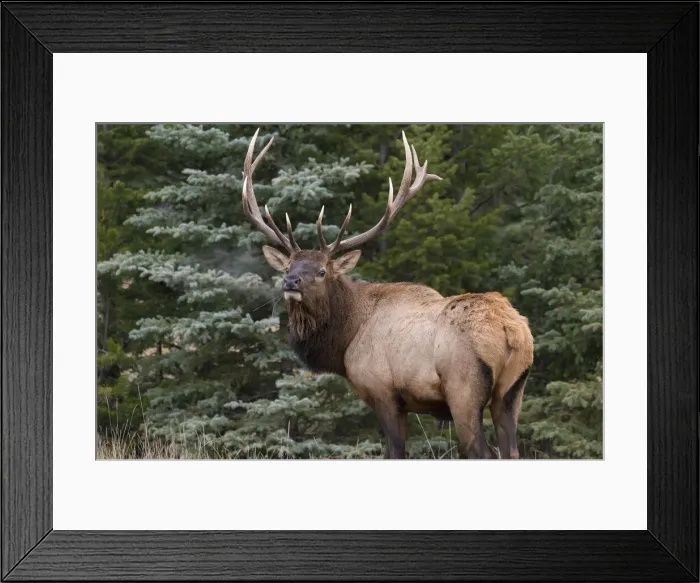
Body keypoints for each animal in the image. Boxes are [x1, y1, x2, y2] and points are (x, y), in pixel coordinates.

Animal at [240, 128, 534, 459]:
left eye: (322, 271)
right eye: (288, 266)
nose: (290, 282)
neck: (345, 339)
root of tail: (511, 329)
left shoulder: (384, 393)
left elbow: (395, 451)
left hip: (464, 388)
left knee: (481, 451)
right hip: (512, 391)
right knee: (512, 450)